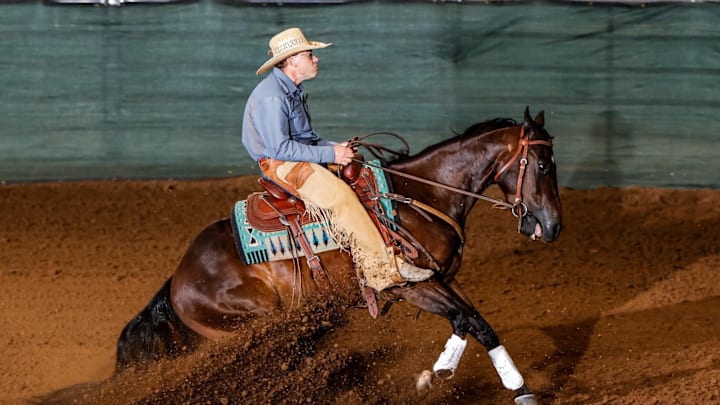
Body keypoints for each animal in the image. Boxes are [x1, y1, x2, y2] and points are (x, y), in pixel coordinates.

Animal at [116, 107, 562, 405]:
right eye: (543, 164)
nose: (553, 226)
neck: (422, 195)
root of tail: (178, 280)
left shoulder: (441, 279)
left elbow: (477, 323)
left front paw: (513, 388)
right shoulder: (407, 286)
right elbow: (466, 321)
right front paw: (439, 375)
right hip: (255, 329)